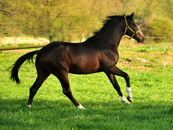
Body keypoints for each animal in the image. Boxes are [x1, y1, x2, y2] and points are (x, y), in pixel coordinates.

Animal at [10, 12, 144, 108]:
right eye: (133, 24)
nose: (142, 38)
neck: (105, 44)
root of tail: (41, 51)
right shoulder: (110, 67)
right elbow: (126, 76)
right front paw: (130, 97)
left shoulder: (107, 70)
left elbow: (116, 85)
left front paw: (126, 101)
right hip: (61, 72)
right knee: (66, 90)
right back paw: (80, 106)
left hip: (44, 73)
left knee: (33, 88)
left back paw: (29, 107)